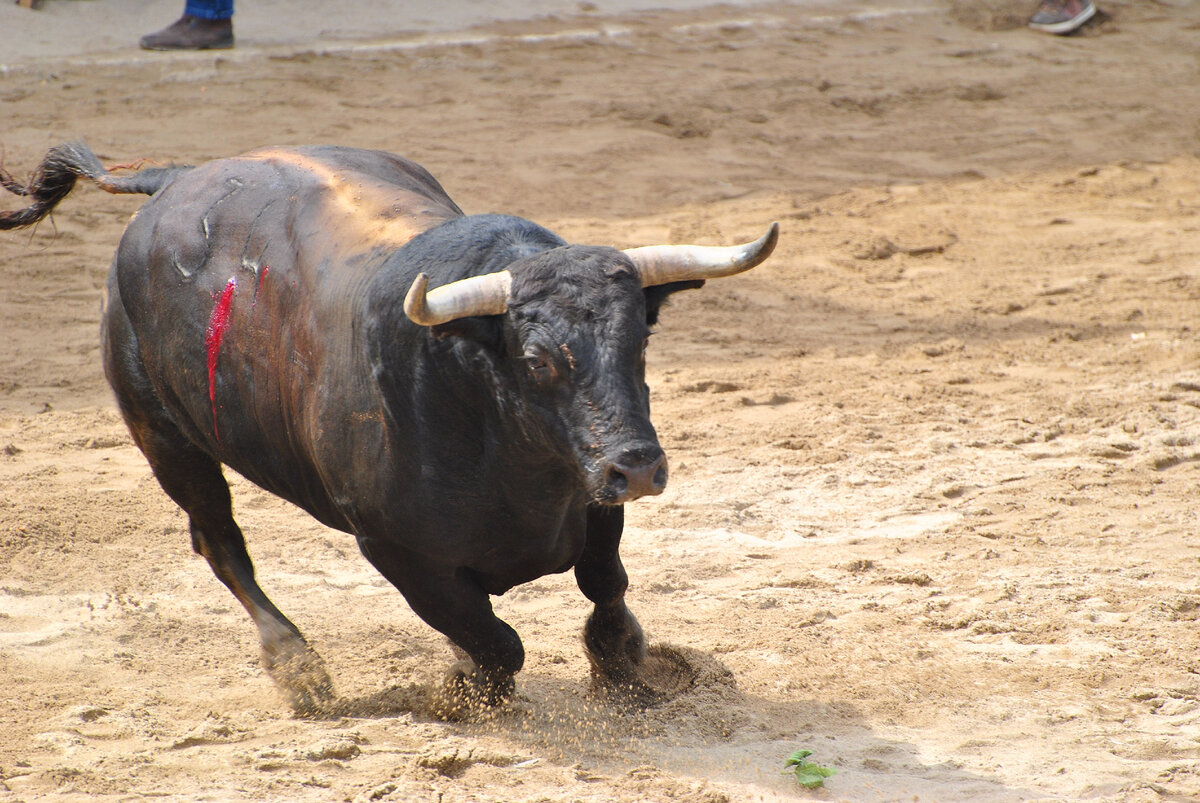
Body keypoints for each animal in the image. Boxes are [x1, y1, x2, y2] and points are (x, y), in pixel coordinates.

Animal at [0, 144, 777, 715]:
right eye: (535, 360)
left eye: (640, 342)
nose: (638, 467)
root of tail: (175, 179)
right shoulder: (394, 547)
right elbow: (494, 640)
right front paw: (463, 690)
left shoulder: (592, 497)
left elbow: (605, 584)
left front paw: (623, 668)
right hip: (165, 438)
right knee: (220, 540)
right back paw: (298, 669)